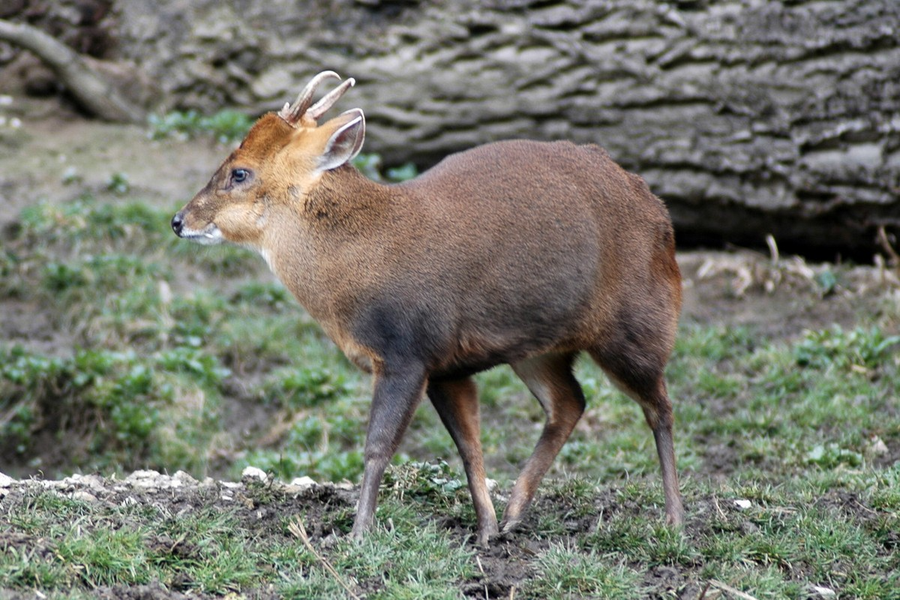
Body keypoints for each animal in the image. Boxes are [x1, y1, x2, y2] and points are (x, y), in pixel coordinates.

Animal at [172, 71, 684, 548]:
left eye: (240, 173)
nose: (179, 220)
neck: (365, 256)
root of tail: (658, 210)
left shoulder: (407, 352)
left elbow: (377, 447)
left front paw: (358, 534)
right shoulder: (447, 367)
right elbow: (469, 447)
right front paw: (486, 531)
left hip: (637, 324)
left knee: (659, 405)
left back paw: (674, 518)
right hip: (539, 347)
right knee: (569, 402)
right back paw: (516, 513)